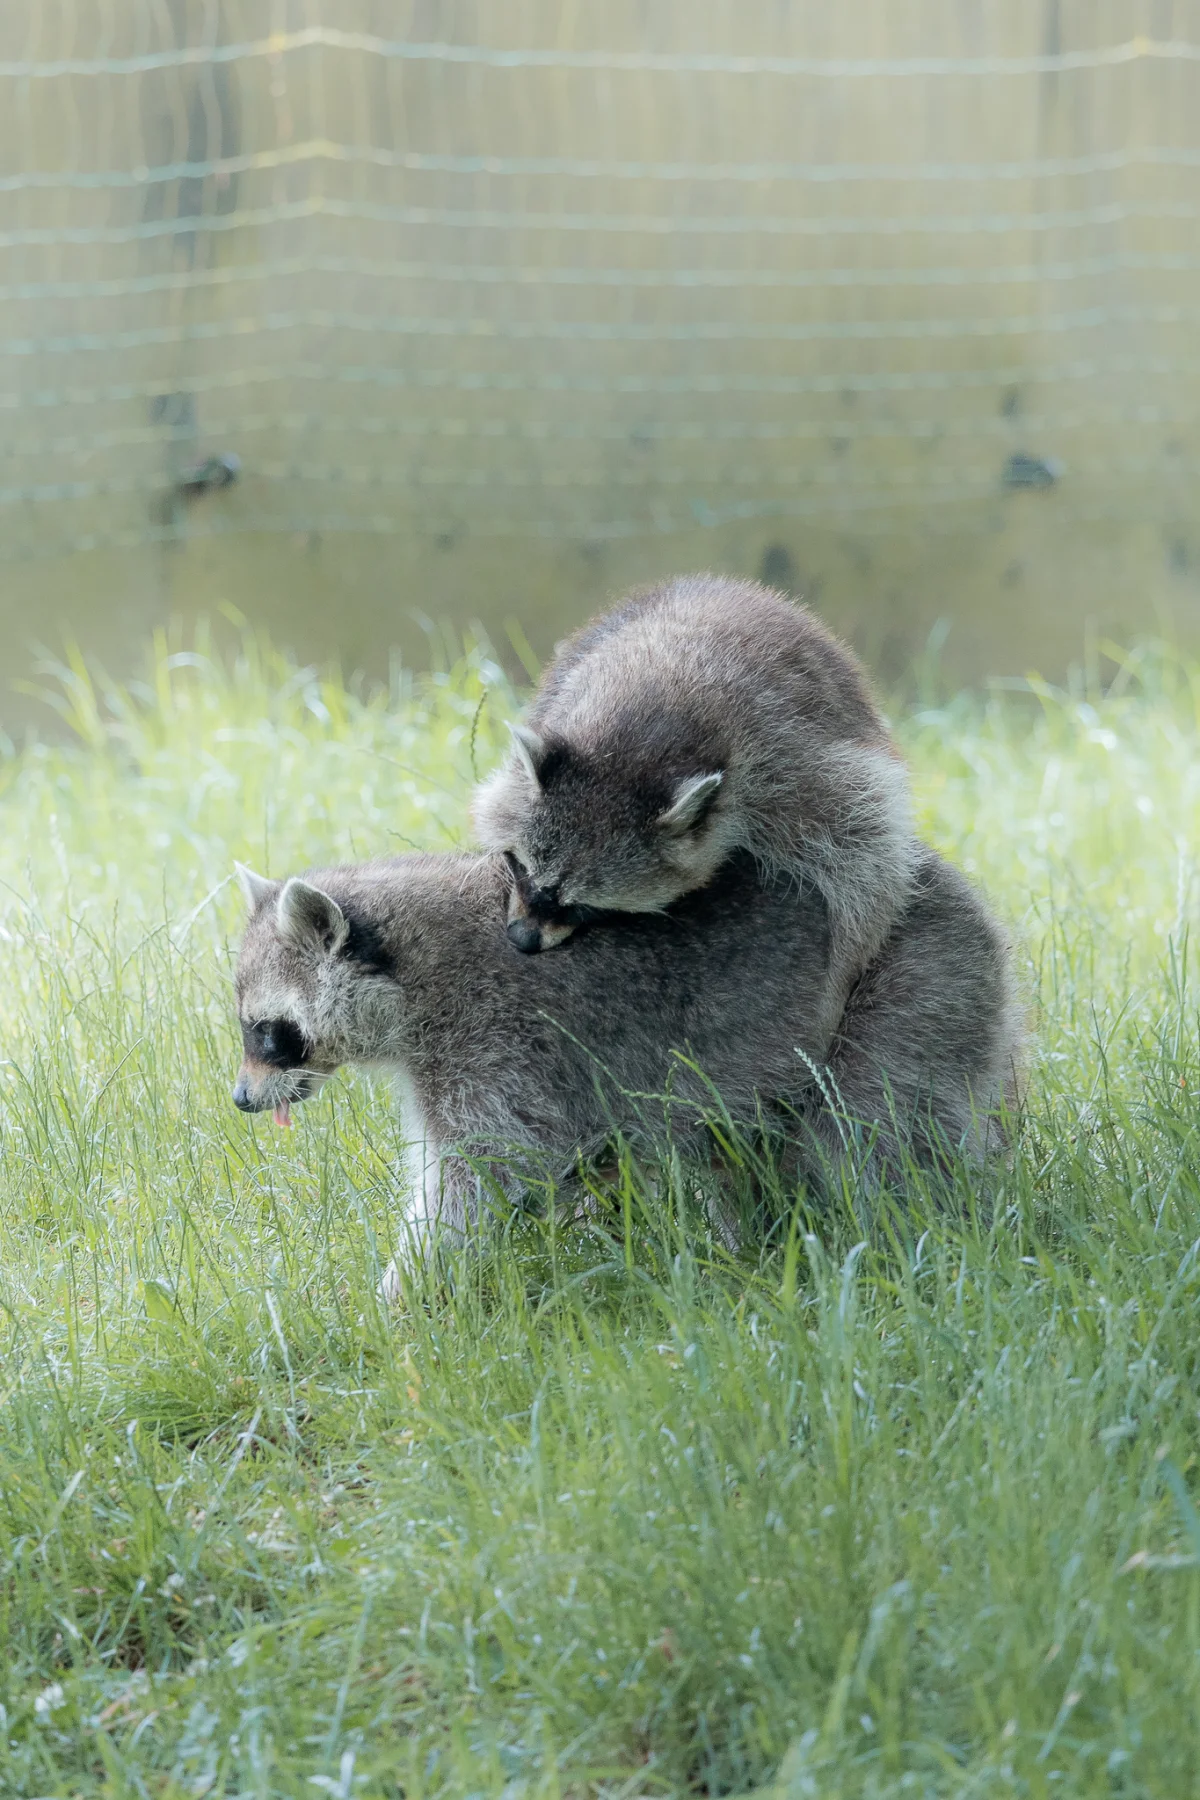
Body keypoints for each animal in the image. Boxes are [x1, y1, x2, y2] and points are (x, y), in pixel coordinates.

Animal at [231, 845, 1018, 1264]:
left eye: (268, 1032)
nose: (239, 1099)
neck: (414, 967)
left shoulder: (492, 1045)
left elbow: (482, 1178)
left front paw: (410, 1294)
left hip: (915, 982)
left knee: (868, 1137)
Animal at [473, 573, 920, 1026]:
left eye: (584, 907)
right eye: (520, 867)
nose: (522, 940)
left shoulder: (796, 766)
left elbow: (869, 867)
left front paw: (839, 982)